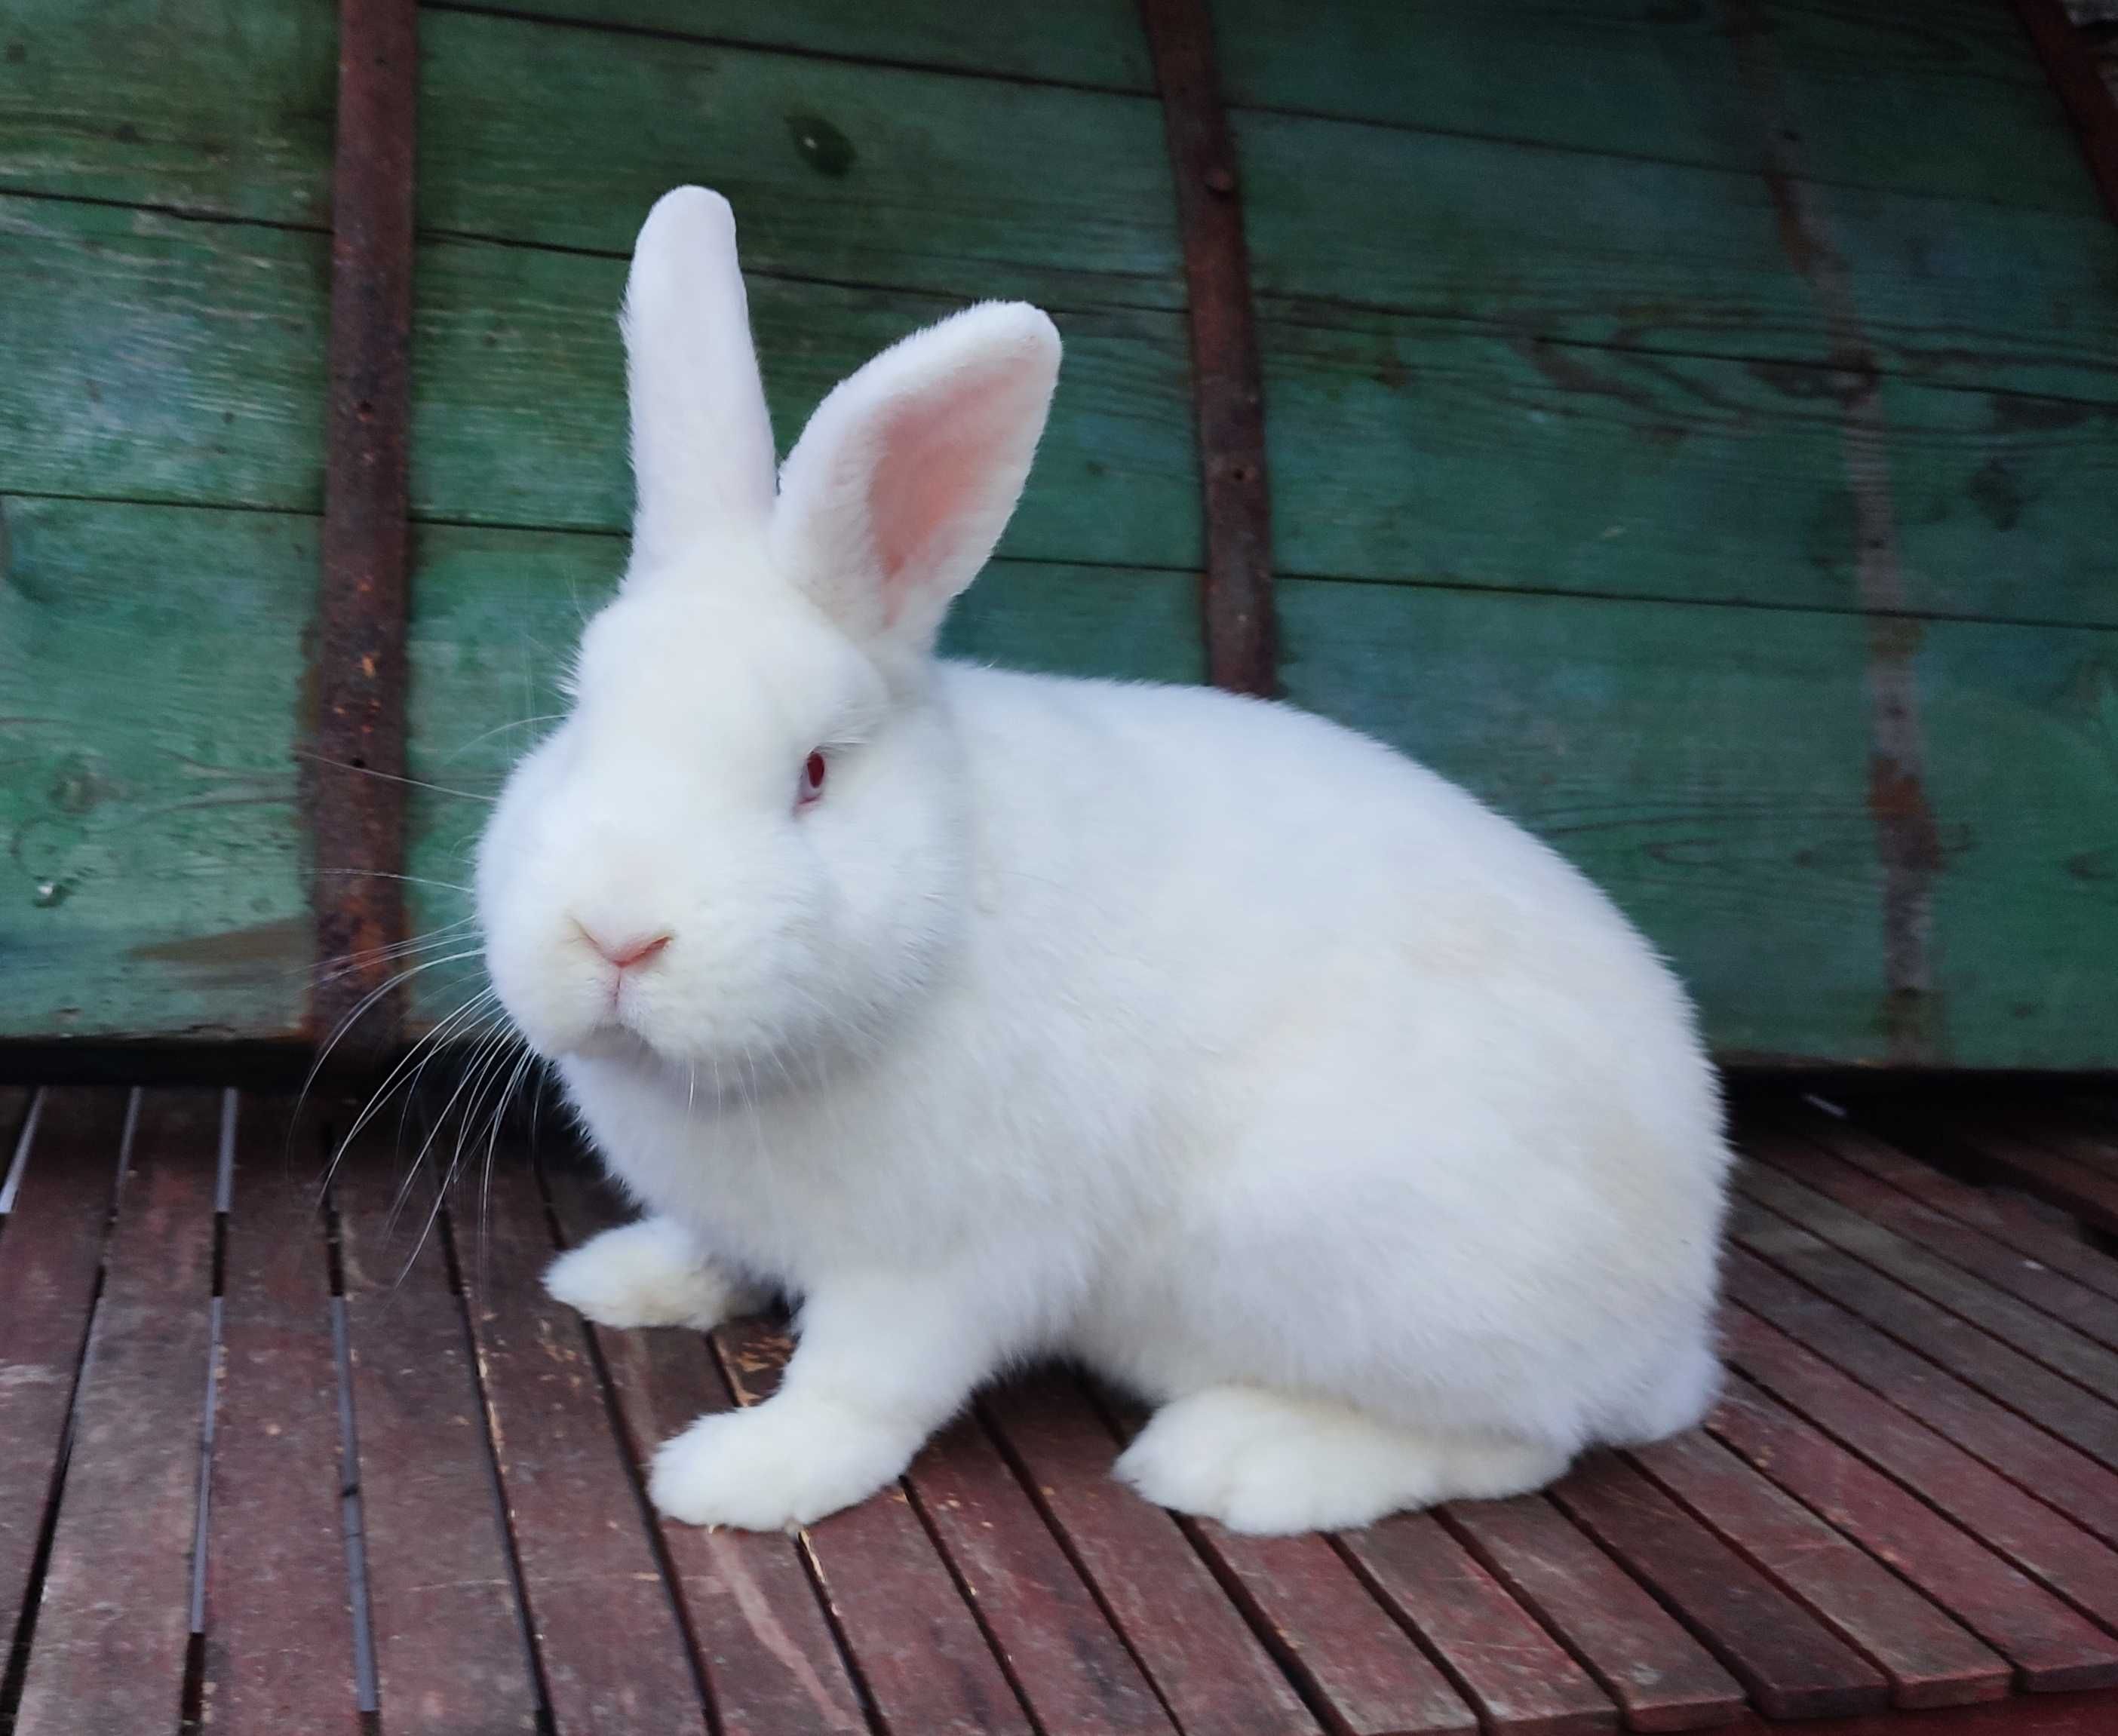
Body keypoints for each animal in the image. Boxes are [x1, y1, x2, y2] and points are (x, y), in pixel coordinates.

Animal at [487, 186, 1728, 1532]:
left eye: (813, 772)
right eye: (577, 717)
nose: (617, 932)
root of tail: (1675, 1327)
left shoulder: (950, 1256)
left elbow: (865, 1384)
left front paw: (742, 1473)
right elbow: (712, 1248)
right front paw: (620, 1277)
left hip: (1351, 1260)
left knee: (1520, 1442)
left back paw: (1240, 1458)